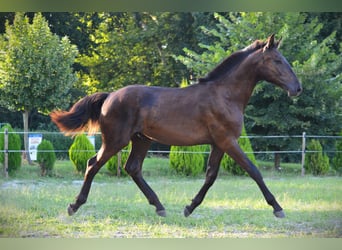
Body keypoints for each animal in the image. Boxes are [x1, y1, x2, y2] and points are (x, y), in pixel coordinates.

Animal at [50, 34, 302, 219]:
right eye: (277, 60)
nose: (297, 88)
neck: (225, 94)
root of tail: (110, 96)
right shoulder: (228, 141)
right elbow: (254, 171)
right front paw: (278, 208)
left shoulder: (219, 143)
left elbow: (211, 176)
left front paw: (189, 208)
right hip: (115, 140)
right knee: (93, 165)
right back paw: (74, 205)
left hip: (141, 139)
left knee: (133, 168)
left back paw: (160, 206)